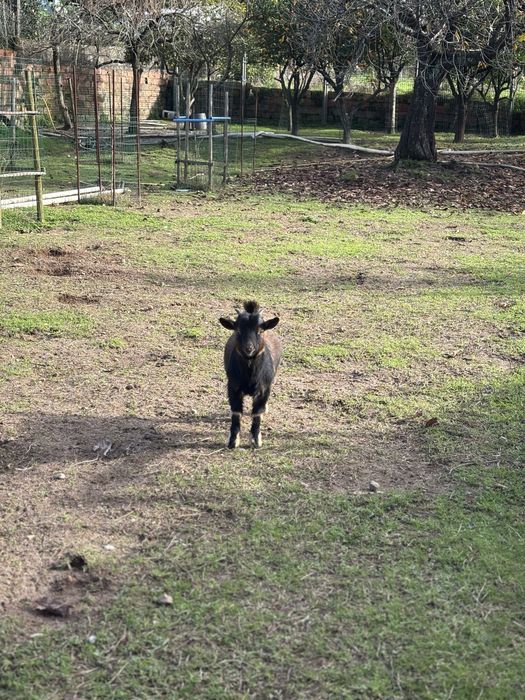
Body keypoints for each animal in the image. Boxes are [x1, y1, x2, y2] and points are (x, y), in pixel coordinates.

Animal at [219, 301, 282, 448]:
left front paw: (256, 441)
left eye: (260, 331)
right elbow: (236, 413)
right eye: (238, 330)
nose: (249, 348)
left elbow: (257, 413)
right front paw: (233, 442)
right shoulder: (233, 388)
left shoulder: (264, 390)